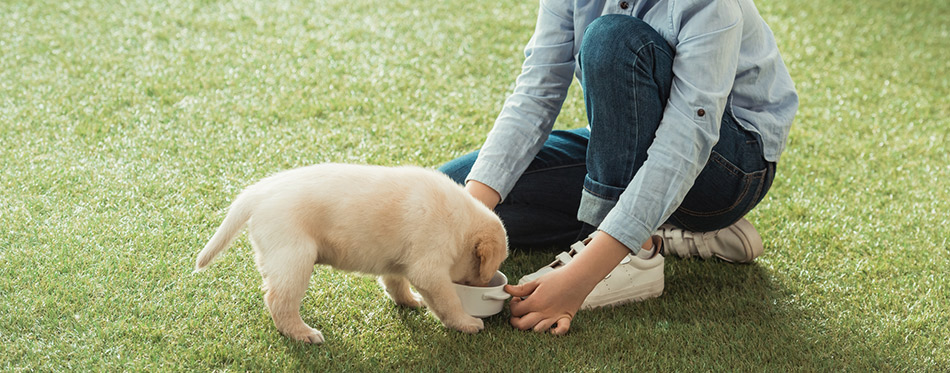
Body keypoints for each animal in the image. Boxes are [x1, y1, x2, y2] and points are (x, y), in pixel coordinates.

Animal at [192, 163, 506, 342]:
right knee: (278, 300)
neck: (461, 224)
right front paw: (466, 323)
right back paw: (303, 334)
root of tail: (257, 192)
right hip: (295, 257)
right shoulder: (429, 267)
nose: (483, 283)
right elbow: (448, 301)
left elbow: (395, 281)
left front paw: (407, 301)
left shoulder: (399, 261)